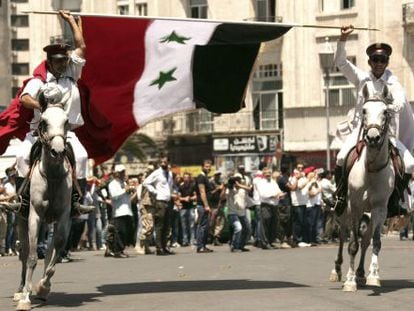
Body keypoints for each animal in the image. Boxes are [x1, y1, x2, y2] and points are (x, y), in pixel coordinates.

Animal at [14, 86, 73, 311]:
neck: (53, 175)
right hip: (21, 220)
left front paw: (43, 287)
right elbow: (31, 257)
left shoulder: (64, 215)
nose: (58, 151)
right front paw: (25, 298)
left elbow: (57, 248)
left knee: (49, 248)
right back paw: (21, 289)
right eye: (44, 122)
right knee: (24, 252)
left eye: (66, 121)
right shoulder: (34, 215)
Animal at [330, 82, 394, 292]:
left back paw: (360, 273)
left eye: (385, 112)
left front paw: (373, 275)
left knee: (365, 240)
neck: (371, 169)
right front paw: (349, 281)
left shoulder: (379, 208)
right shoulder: (355, 206)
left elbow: (375, 242)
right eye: (364, 111)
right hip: (345, 211)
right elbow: (352, 245)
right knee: (343, 235)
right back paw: (338, 270)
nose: (373, 137)